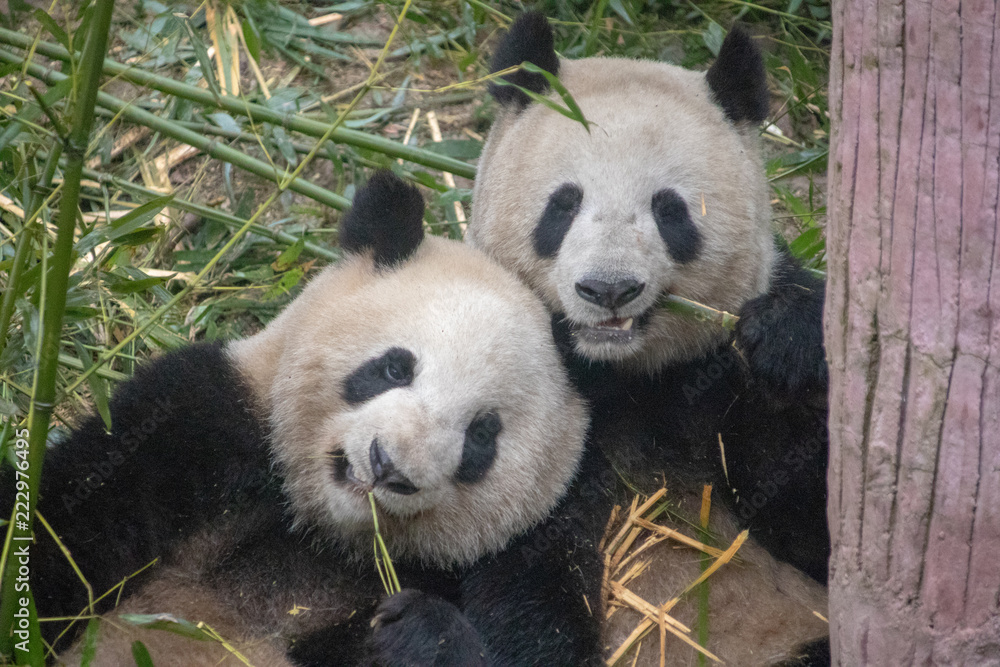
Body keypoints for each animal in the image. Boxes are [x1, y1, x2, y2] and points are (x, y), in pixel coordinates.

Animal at [6, 172, 611, 666]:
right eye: (394, 367)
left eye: (482, 434)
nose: (387, 467)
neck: (320, 536)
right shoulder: (204, 419)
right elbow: (70, 527)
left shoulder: (525, 550)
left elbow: (535, 641)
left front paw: (421, 635)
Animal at [467, 13, 831, 666]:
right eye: (564, 204)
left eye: (670, 210)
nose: (608, 289)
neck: (622, 374)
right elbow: (520, 570)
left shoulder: (716, 380)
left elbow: (817, 520)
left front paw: (785, 345)